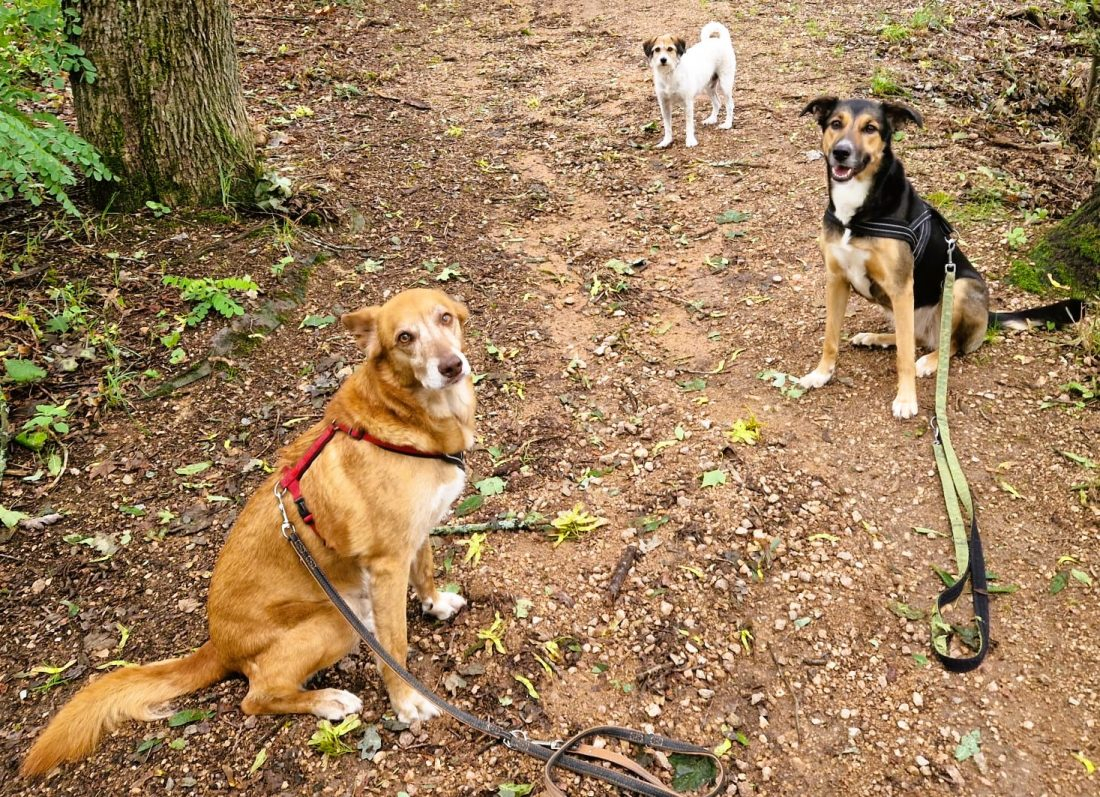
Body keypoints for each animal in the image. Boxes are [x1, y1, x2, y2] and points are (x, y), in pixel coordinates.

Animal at [22, 288, 477, 778]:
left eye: (445, 318)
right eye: (404, 337)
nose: (451, 366)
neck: (408, 422)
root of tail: (218, 645)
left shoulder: (417, 536)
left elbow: (425, 573)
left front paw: (434, 604)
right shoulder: (387, 563)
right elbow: (395, 647)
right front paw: (406, 700)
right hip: (336, 622)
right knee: (256, 697)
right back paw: (326, 701)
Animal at [800, 97, 1082, 419]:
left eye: (870, 128)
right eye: (836, 123)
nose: (841, 152)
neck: (857, 210)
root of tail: (989, 317)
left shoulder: (901, 287)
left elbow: (905, 358)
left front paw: (906, 400)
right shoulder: (837, 280)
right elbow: (830, 338)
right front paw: (821, 374)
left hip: (959, 286)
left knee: (949, 344)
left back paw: (931, 360)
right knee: (913, 337)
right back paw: (876, 338)